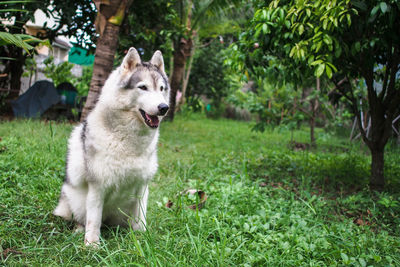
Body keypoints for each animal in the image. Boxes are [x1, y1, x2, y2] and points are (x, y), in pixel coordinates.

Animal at [52, 47, 169, 246]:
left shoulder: (142, 187)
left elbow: (141, 219)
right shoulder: (97, 187)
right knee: (81, 219)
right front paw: (92, 245)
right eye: (143, 87)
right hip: (73, 200)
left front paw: (141, 239)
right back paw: (78, 229)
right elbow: (93, 220)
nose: (164, 107)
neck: (129, 142)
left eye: (161, 89)